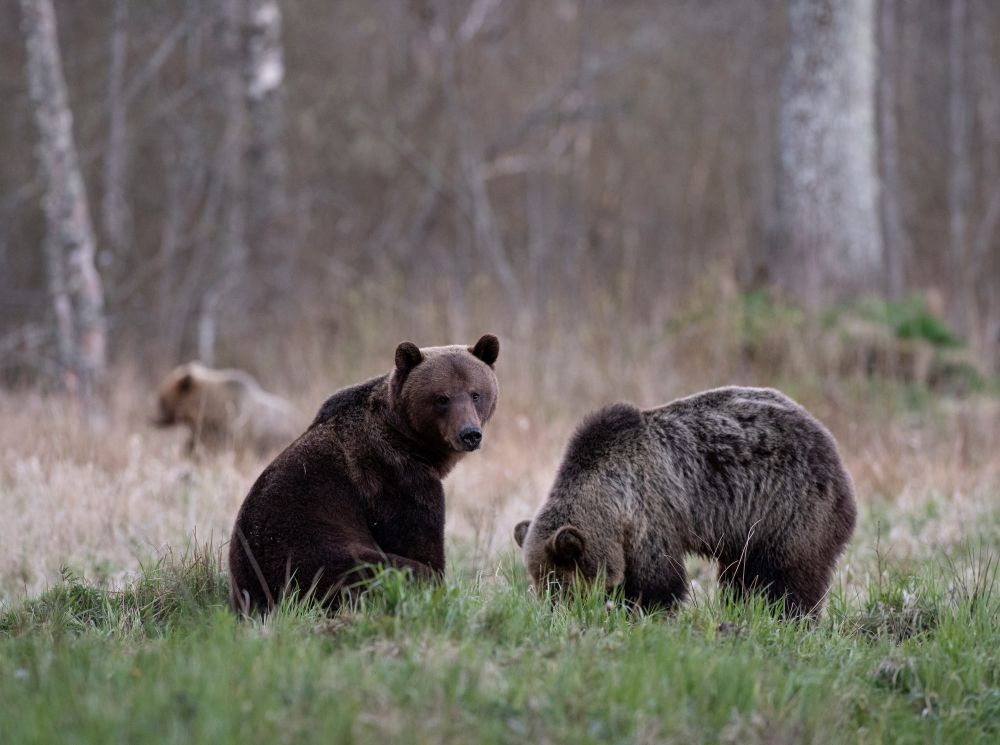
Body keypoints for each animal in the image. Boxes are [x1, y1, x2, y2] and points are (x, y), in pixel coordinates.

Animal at [227, 334, 500, 612]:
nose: (469, 434)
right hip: (312, 559)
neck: (411, 441)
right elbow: (420, 546)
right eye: (442, 398)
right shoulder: (393, 477)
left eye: (475, 394)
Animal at [516, 384, 860, 616]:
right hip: (748, 533)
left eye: (558, 584)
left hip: (788, 509)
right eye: (538, 582)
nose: (553, 612)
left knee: (789, 578)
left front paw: (644, 610)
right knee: (741, 578)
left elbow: (657, 580)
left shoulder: (651, 511)